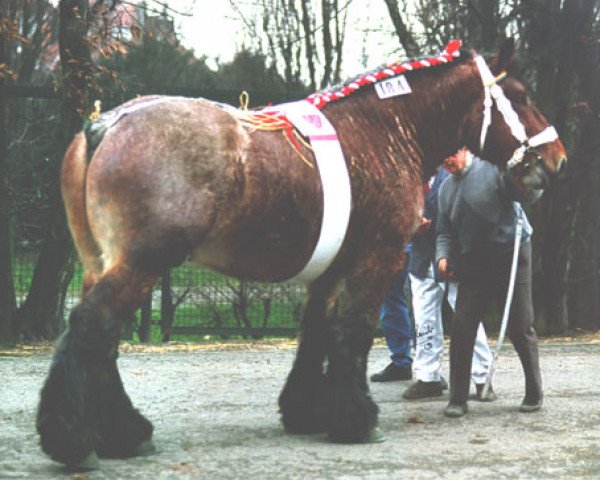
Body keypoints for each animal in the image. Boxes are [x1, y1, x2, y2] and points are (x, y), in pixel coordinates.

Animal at [38, 38, 568, 468]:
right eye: (521, 96)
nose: (557, 158)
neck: (381, 132)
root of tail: (107, 124)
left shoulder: (330, 269)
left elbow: (315, 332)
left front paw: (305, 411)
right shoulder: (377, 260)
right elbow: (353, 331)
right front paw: (356, 420)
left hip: (105, 264)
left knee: (102, 340)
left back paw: (121, 434)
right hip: (142, 265)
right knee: (91, 327)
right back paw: (78, 440)